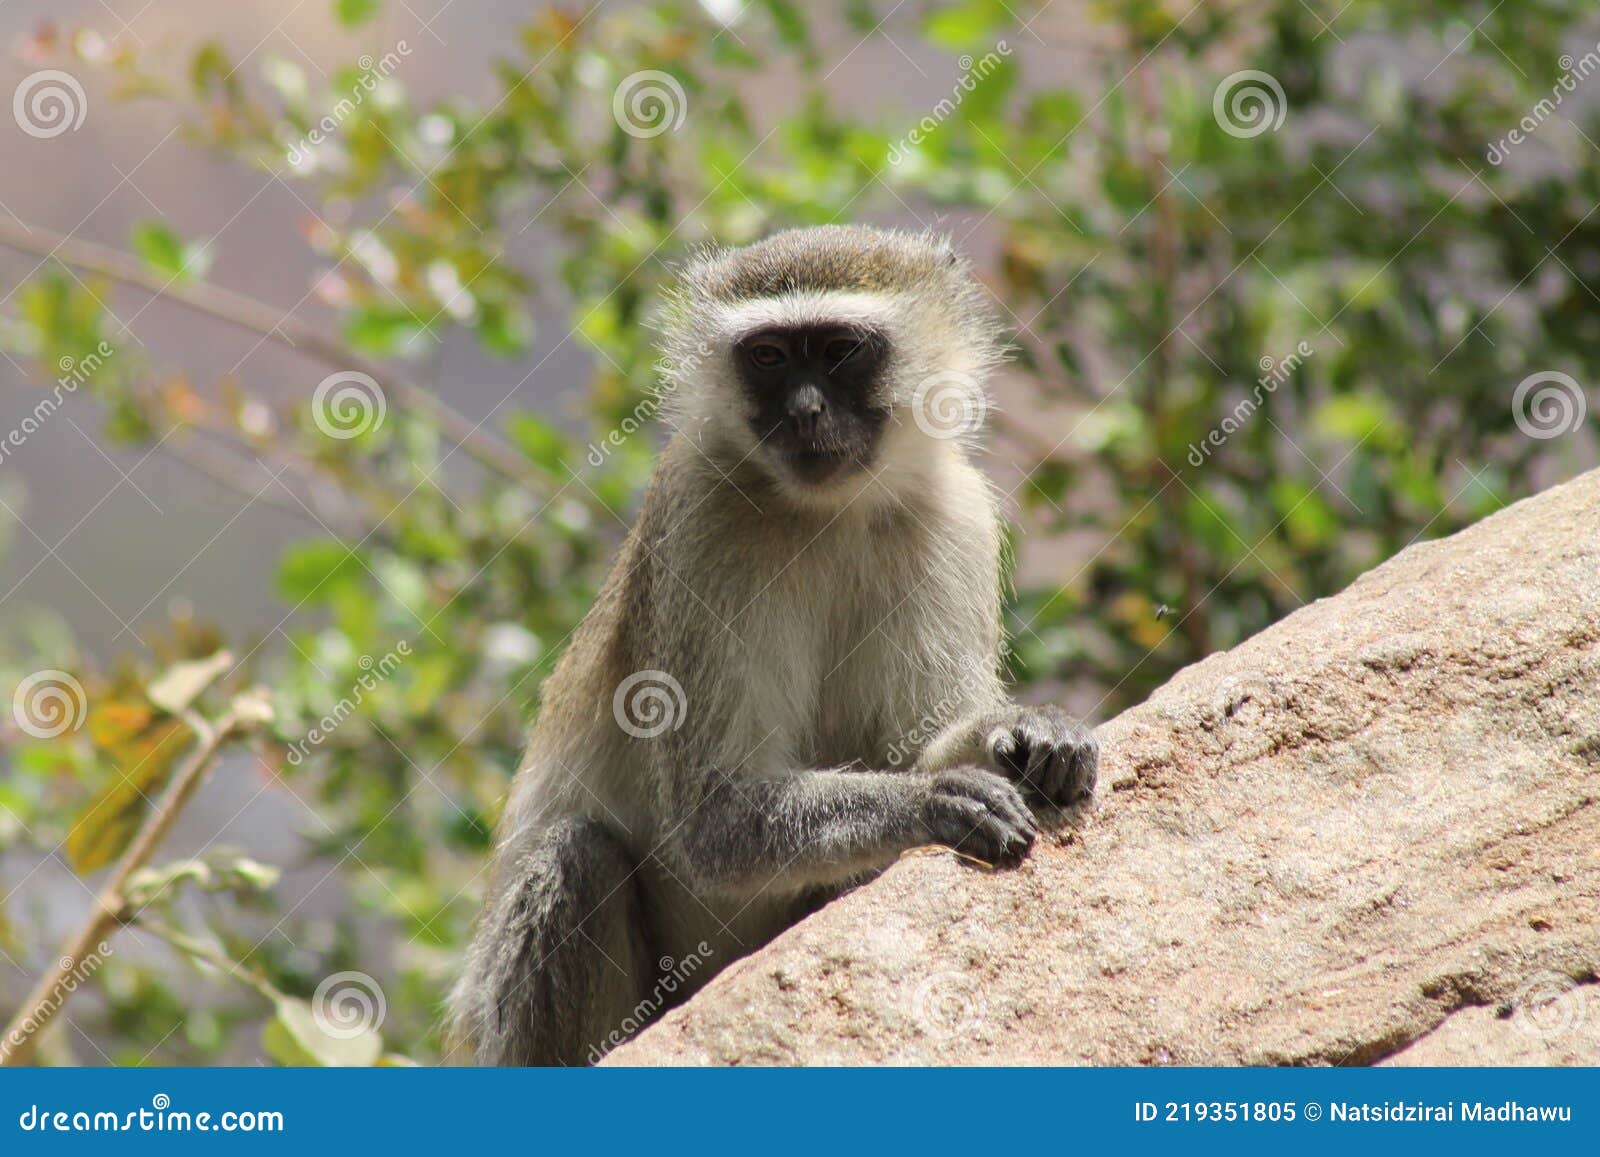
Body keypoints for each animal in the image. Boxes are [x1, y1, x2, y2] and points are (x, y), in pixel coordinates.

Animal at [446, 225, 1098, 1066]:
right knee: (576, 858)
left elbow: (920, 735)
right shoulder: (701, 520)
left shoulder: (955, 517)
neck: (833, 510)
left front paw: (1025, 731)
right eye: (768, 356)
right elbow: (715, 816)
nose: (806, 411)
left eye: (841, 350)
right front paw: (931, 799)